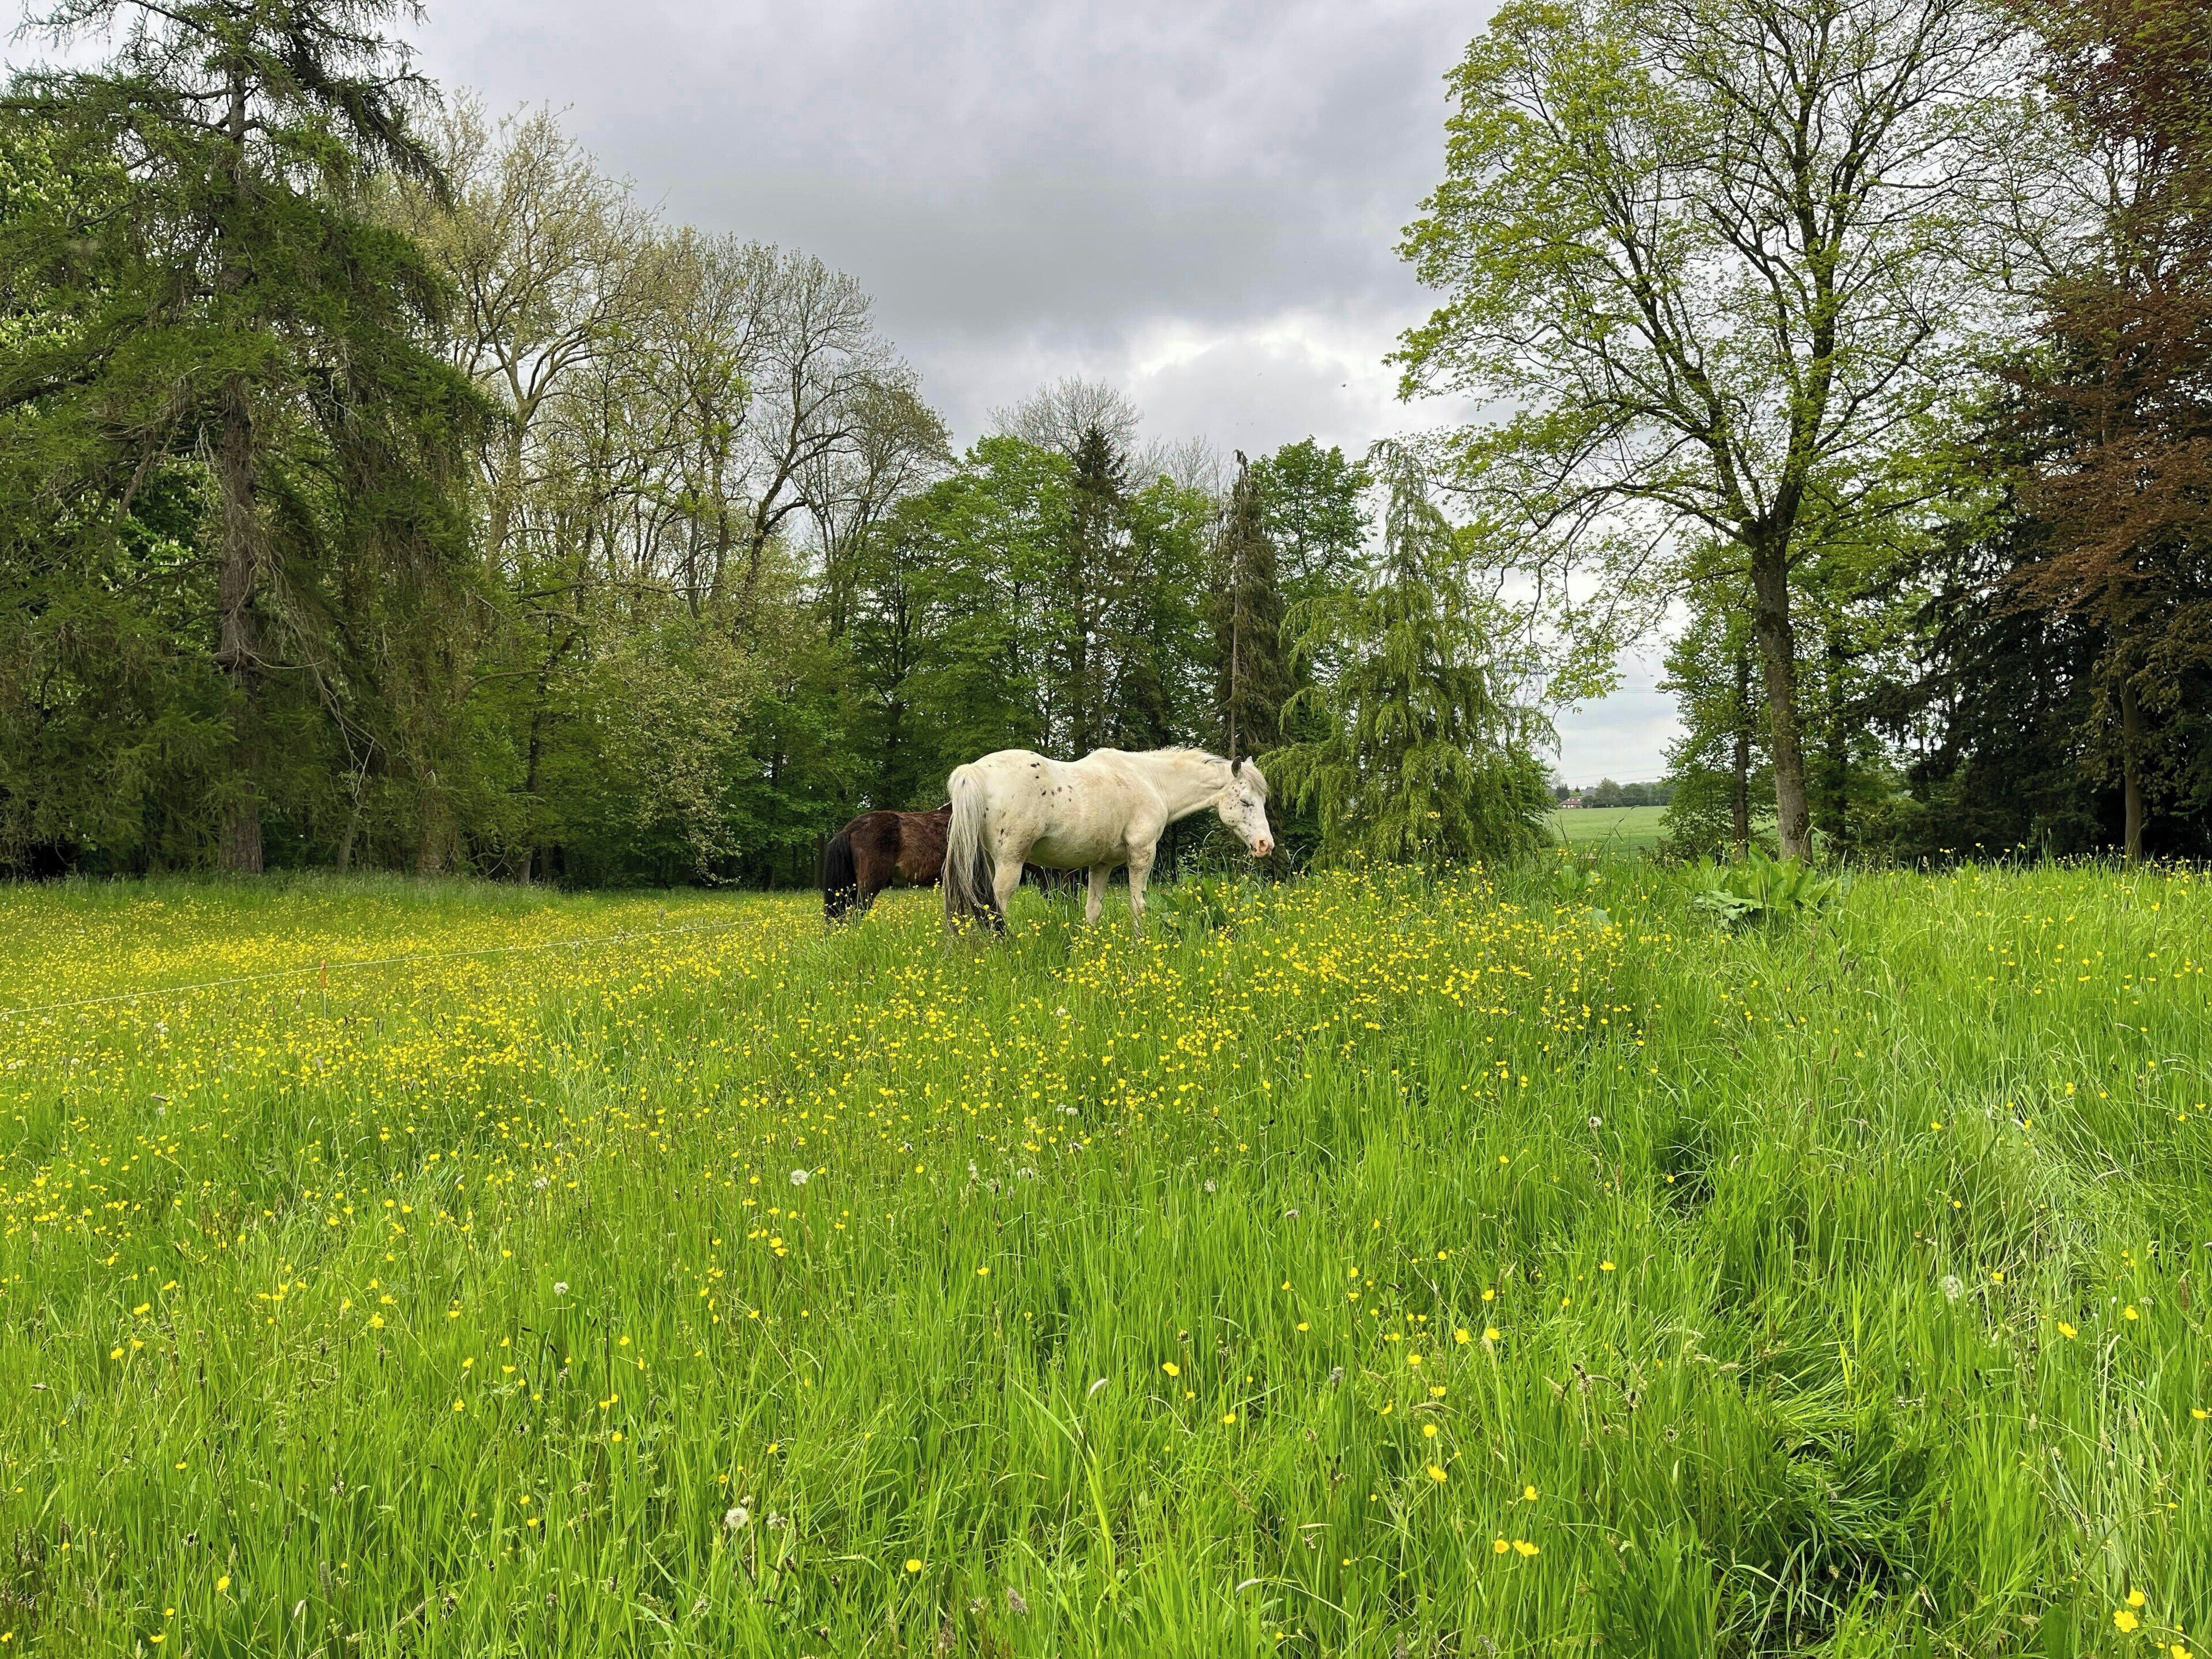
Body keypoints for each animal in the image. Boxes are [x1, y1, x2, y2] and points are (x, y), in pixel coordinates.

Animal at [943, 747, 1273, 933]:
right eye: (1245, 801)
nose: (1265, 845)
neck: (1151, 780)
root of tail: (975, 771)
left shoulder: (1101, 864)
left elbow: (1093, 910)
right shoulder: (1142, 854)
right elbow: (1138, 906)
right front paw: (1141, 944)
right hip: (1011, 864)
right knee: (997, 907)